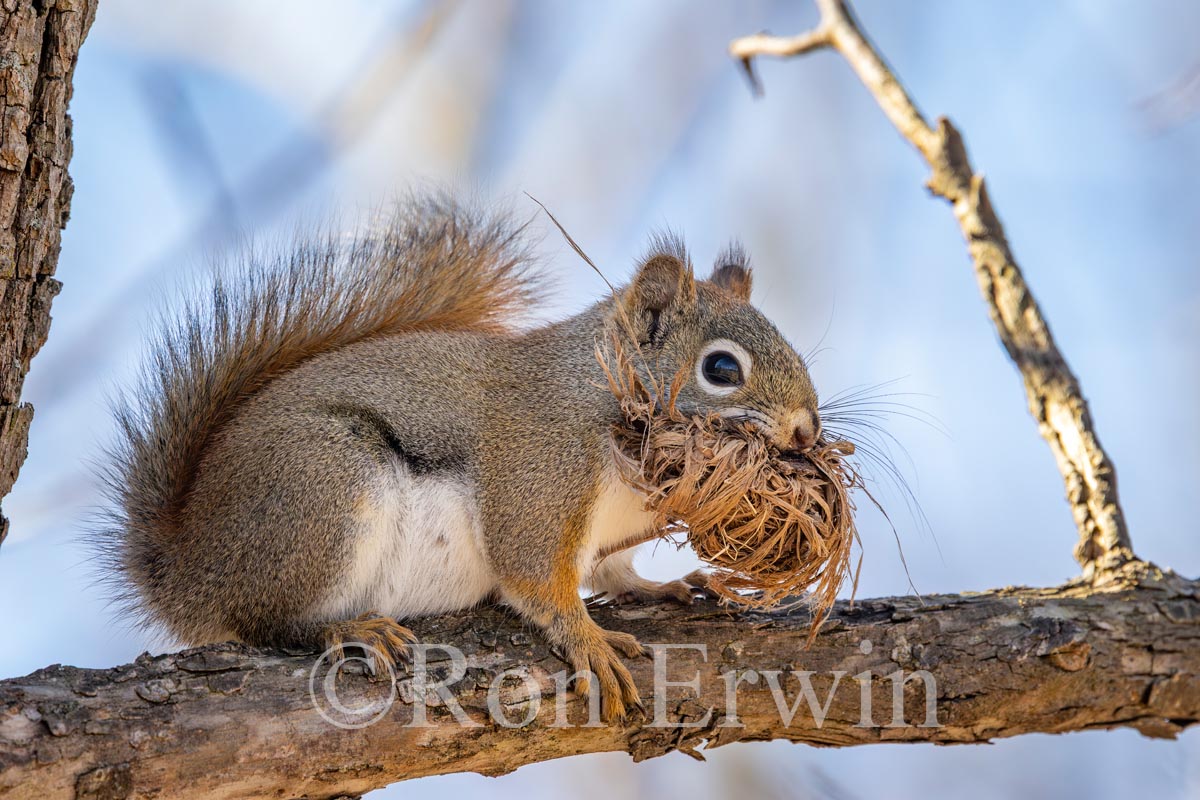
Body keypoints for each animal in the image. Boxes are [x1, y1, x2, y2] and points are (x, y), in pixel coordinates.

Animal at [98, 193, 822, 722]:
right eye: (722, 368)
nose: (807, 430)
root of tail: (190, 571)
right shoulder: (541, 466)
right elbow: (534, 574)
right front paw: (588, 641)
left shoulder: (606, 535)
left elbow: (613, 573)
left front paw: (665, 586)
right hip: (322, 495)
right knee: (266, 620)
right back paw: (348, 629)